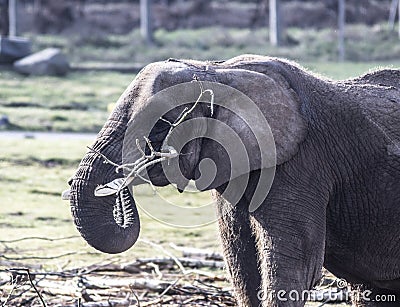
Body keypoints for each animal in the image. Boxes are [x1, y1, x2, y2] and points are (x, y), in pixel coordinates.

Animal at [65, 55, 400, 307]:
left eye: (160, 126)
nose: (123, 183)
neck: (218, 71)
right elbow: (243, 266)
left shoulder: (304, 165)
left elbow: (294, 270)